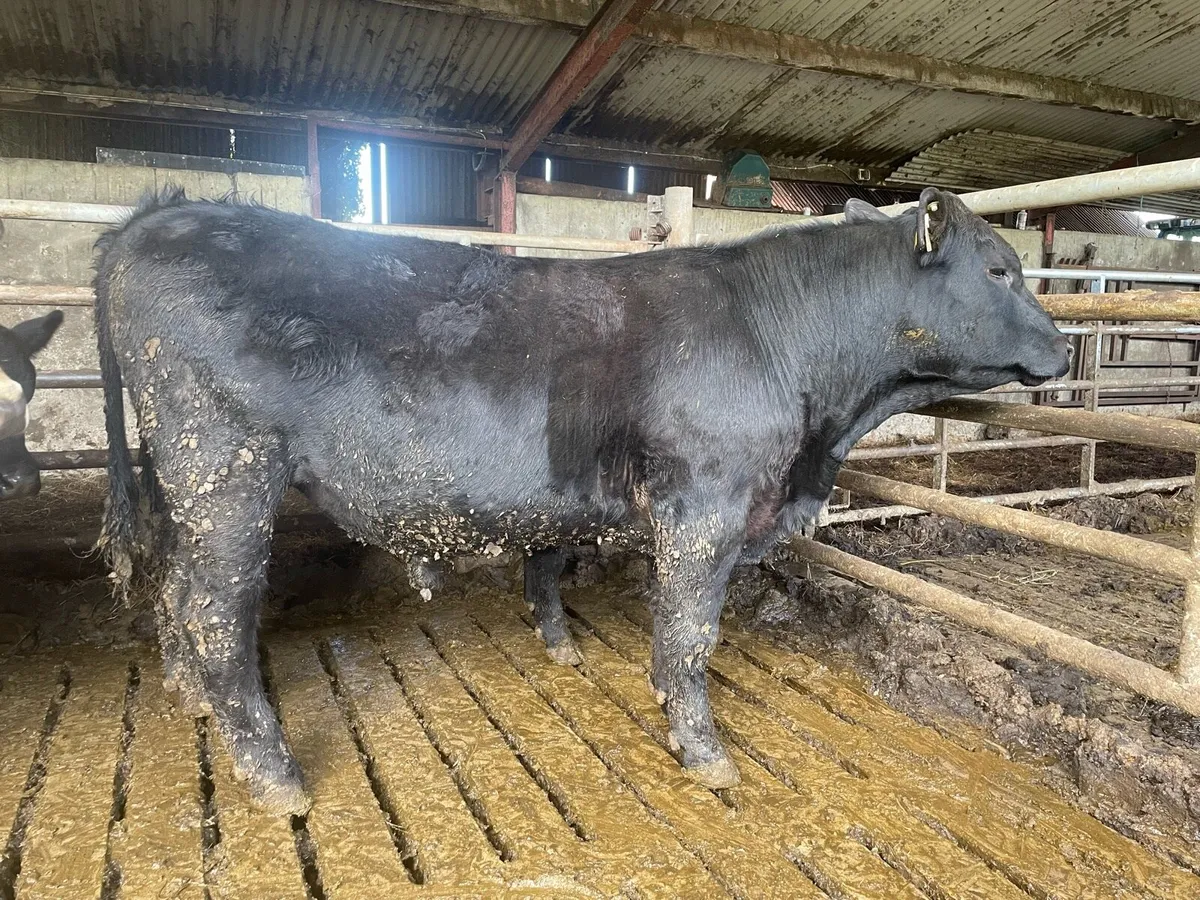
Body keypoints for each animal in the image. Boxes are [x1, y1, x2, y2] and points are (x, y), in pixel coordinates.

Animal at [93, 186, 1070, 815]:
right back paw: (275, 776)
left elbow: (560, 564)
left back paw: (195, 705)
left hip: (189, 482)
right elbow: (688, 635)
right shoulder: (706, 505)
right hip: (226, 468)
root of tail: (164, 210)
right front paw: (703, 753)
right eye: (999, 269)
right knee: (215, 612)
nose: (1064, 348)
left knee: (177, 597)